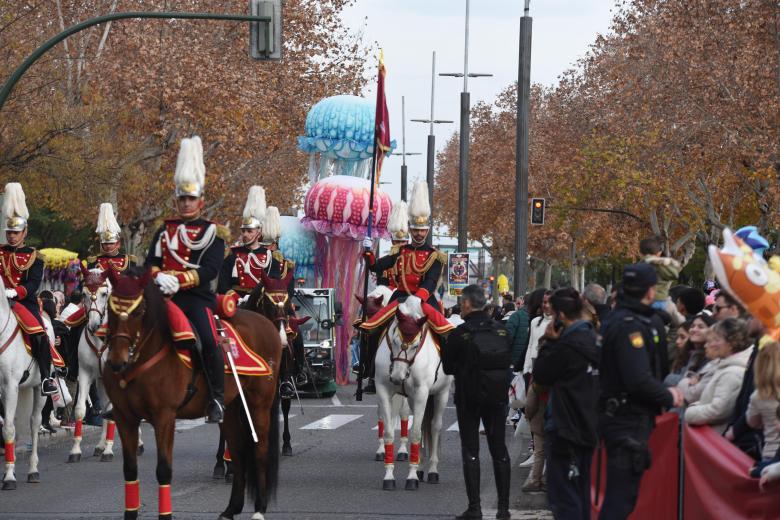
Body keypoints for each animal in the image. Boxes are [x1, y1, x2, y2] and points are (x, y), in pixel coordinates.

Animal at [102, 268, 282, 520]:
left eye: (138, 311)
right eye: (110, 309)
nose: (117, 361)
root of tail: (266, 324)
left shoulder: (164, 417)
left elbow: (164, 469)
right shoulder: (124, 417)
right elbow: (129, 470)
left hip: (259, 404)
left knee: (259, 451)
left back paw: (259, 509)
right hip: (231, 409)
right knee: (237, 454)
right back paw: (231, 509)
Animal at [374, 302, 454, 490]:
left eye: (415, 345)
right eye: (395, 341)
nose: (397, 377)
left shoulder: (421, 393)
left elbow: (416, 433)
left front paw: (411, 477)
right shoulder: (383, 391)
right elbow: (388, 431)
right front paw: (389, 476)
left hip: (441, 393)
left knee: (434, 427)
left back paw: (432, 470)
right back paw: (420, 468)